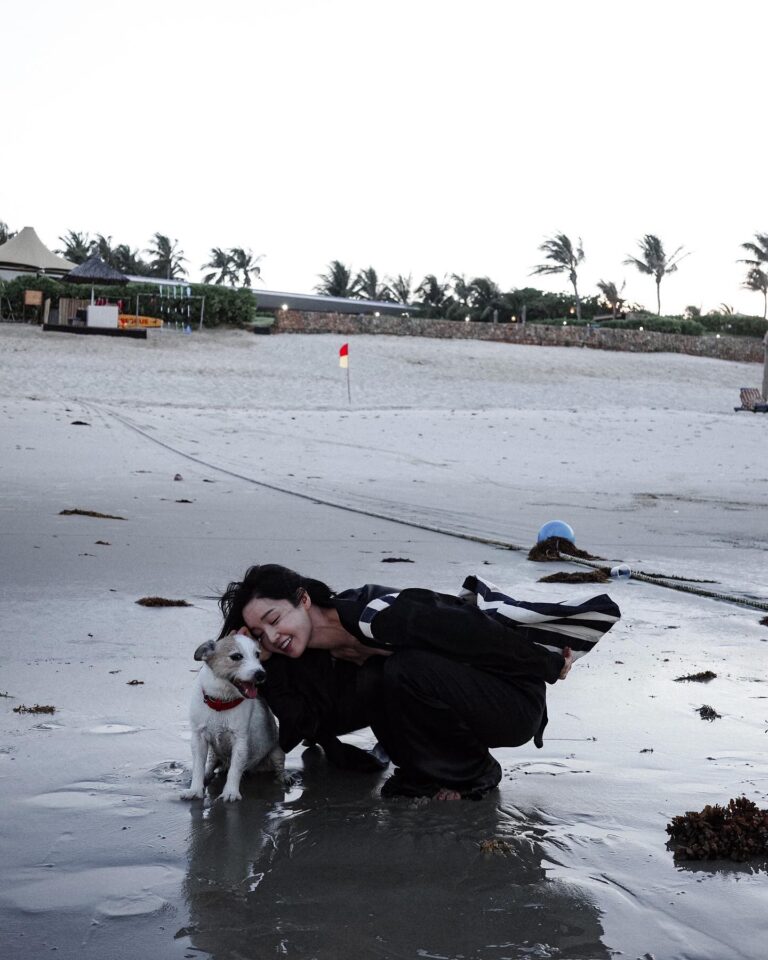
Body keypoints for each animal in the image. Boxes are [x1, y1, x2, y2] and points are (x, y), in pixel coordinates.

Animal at [181, 632, 284, 800]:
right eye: (236, 657)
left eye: (257, 654)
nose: (261, 674)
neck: (220, 703)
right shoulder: (198, 738)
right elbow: (198, 767)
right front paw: (195, 789)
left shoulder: (240, 741)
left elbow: (235, 770)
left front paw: (230, 792)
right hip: (213, 753)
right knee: (211, 765)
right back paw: (208, 774)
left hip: (277, 752)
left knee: (280, 766)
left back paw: (285, 778)